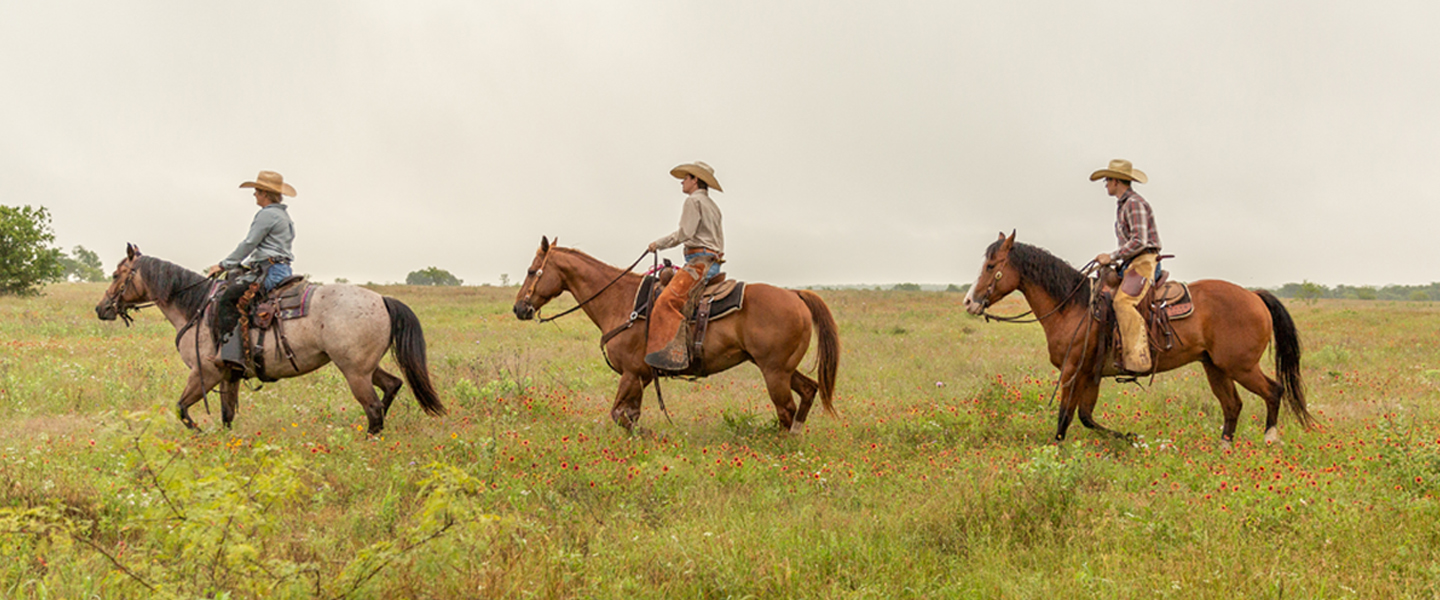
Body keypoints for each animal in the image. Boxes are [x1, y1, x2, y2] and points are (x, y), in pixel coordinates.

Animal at [95, 240, 443, 431]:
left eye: (116, 275)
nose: (102, 308)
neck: (197, 308)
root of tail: (381, 300)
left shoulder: (204, 372)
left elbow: (182, 409)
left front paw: (199, 436)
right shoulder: (228, 375)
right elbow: (226, 415)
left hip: (355, 372)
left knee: (373, 409)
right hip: (365, 368)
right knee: (392, 386)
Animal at [512, 234, 840, 431]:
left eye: (531, 271)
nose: (519, 308)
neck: (621, 300)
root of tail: (795, 295)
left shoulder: (632, 373)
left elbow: (619, 415)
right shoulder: (642, 377)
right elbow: (629, 415)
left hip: (774, 372)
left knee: (786, 409)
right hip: (783, 369)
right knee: (808, 391)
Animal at [961, 230, 1313, 443]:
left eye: (991, 265)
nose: (968, 301)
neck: (1074, 307)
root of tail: (1254, 295)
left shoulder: (1074, 371)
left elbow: (1064, 419)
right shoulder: (1090, 374)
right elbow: (1085, 417)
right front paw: (1133, 440)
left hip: (1240, 366)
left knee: (1274, 390)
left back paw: (1270, 438)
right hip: (1215, 366)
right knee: (1232, 405)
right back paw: (1224, 449)